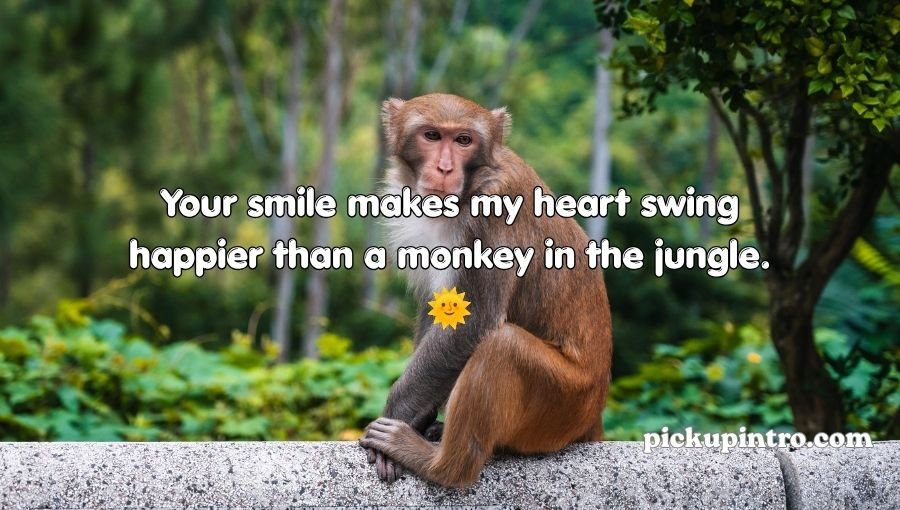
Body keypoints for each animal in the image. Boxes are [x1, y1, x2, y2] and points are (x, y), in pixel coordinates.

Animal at [359, 93, 613, 488]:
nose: (445, 168)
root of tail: (593, 416)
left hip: (565, 403)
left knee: (502, 346)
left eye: (464, 140)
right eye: (432, 135)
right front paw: (422, 416)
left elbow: (474, 321)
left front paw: (398, 414)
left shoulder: (495, 209)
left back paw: (439, 464)